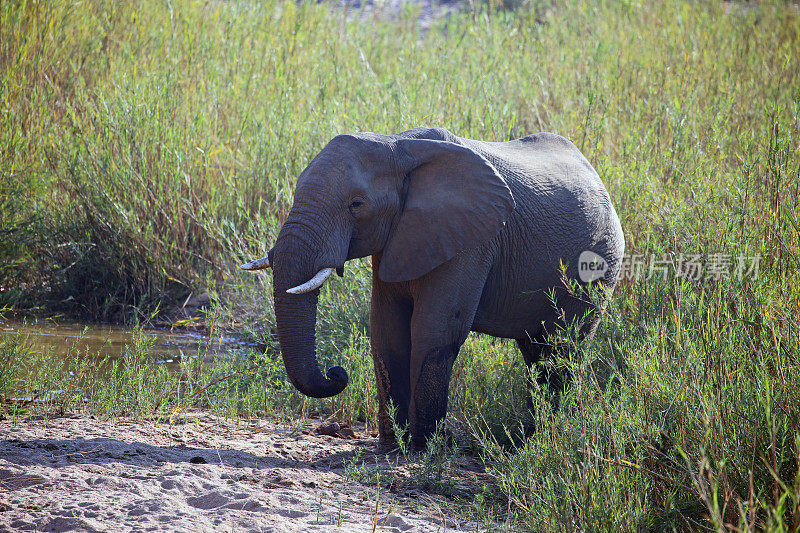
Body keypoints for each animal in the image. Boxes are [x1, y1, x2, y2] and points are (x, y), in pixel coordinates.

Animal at [238, 127, 624, 446]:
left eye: (356, 205)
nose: (336, 373)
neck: (398, 144)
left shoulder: (473, 241)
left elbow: (433, 331)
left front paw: (423, 447)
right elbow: (386, 332)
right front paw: (392, 445)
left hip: (598, 268)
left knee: (563, 350)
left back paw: (540, 440)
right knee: (537, 354)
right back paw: (529, 438)